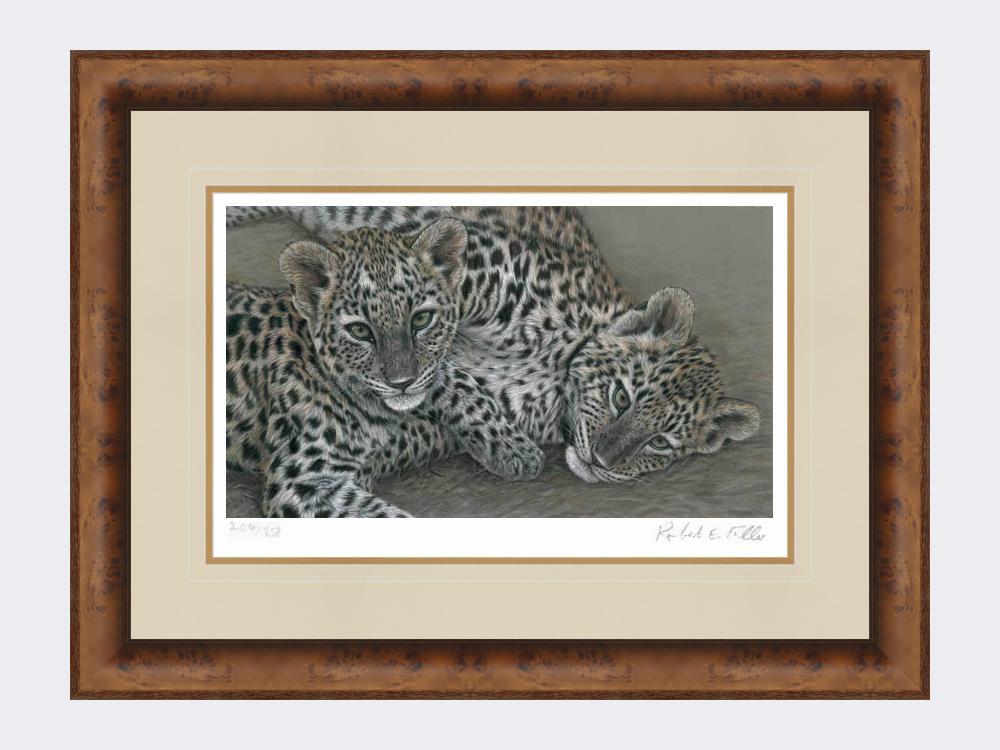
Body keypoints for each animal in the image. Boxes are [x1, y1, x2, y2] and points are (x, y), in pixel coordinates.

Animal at [226, 217, 544, 517]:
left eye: (421, 319)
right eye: (359, 331)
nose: (401, 382)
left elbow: (455, 380)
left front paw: (515, 448)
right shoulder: (300, 483)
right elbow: (382, 516)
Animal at [227, 205, 762, 485]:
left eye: (660, 443)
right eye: (621, 397)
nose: (600, 461)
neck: (557, 364)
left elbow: (439, 376)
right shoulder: (467, 274)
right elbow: (435, 358)